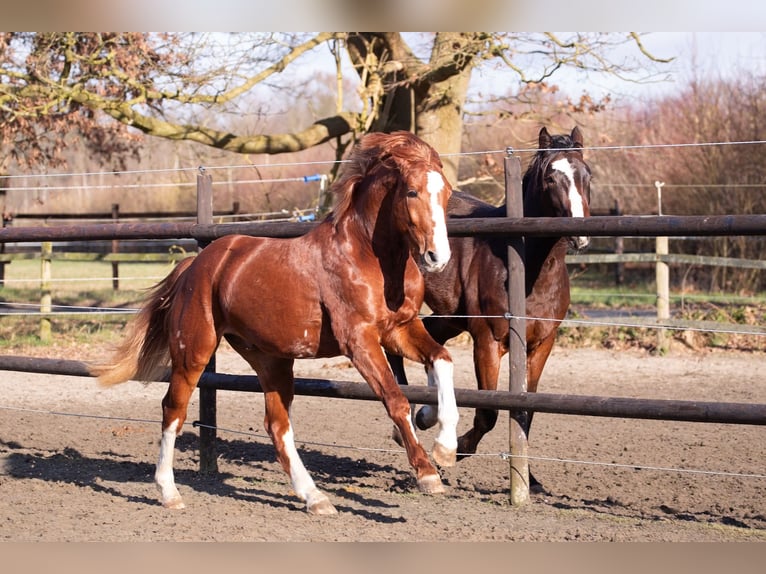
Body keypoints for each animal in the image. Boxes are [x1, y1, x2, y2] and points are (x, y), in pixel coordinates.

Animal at [91, 132, 462, 516]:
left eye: (447, 192)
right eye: (412, 192)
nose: (437, 258)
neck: (366, 257)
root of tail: (196, 265)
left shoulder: (401, 329)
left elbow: (443, 360)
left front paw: (445, 444)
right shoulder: (359, 340)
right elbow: (396, 400)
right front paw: (428, 473)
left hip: (271, 359)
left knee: (277, 425)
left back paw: (315, 498)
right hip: (194, 351)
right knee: (173, 410)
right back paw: (169, 492)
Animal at [390, 127, 592, 490]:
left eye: (587, 175)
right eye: (551, 178)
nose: (580, 237)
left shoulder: (541, 345)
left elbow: (526, 411)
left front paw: (531, 481)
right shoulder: (487, 341)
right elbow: (489, 412)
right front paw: (454, 451)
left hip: (452, 317)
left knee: (428, 338)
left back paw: (425, 414)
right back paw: (411, 423)